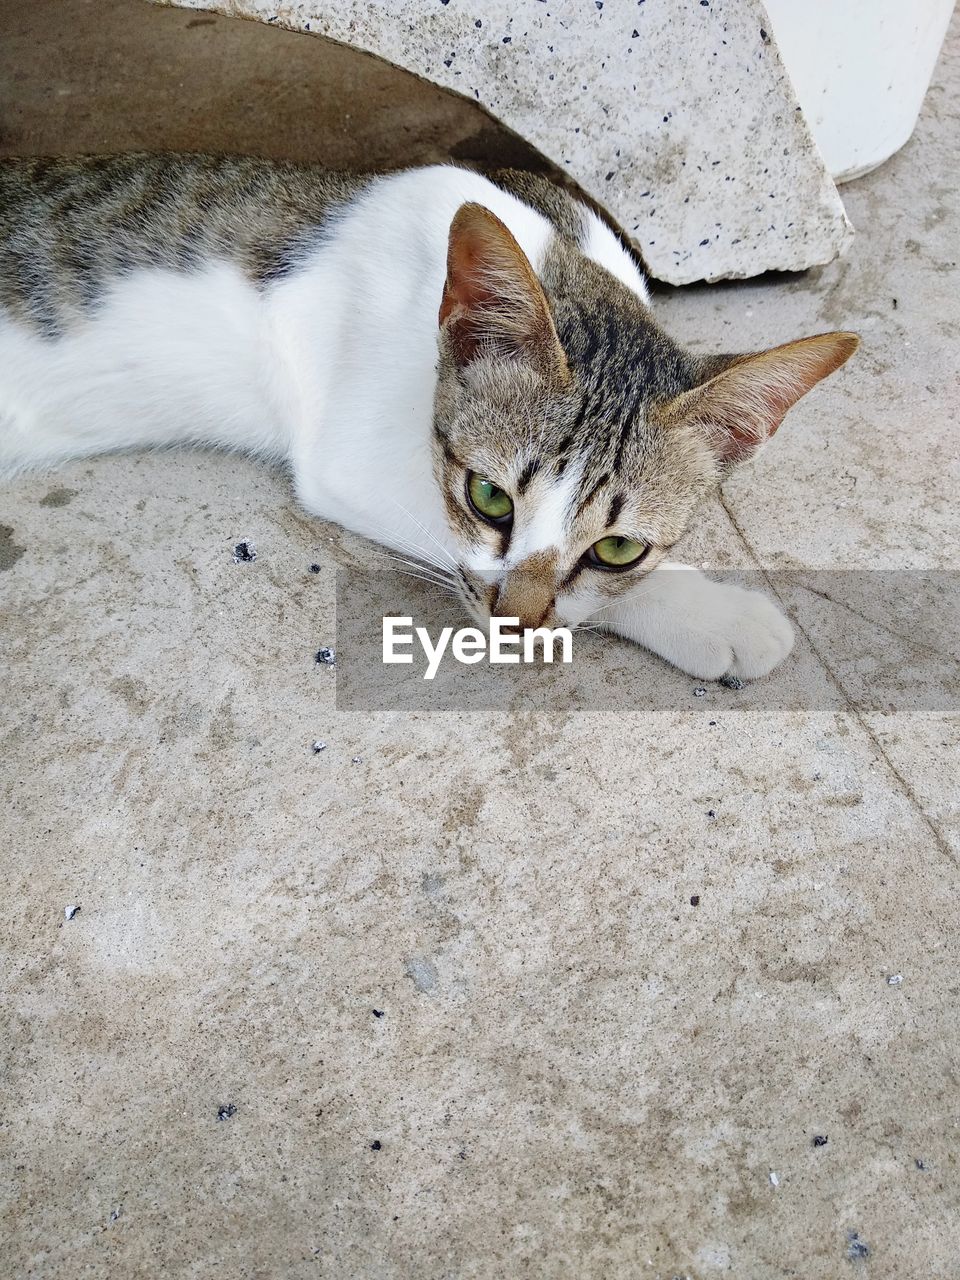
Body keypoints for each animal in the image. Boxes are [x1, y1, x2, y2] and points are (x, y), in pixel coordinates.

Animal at [0, 152, 855, 680]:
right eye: (490, 498)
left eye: (616, 547)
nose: (516, 625)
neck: (559, 252)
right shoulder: (349, 456)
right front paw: (710, 612)